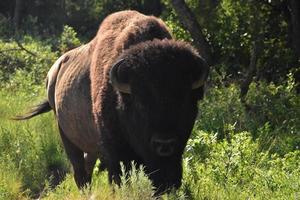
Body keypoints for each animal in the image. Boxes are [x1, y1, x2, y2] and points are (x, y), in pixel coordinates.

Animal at [15, 10, 209, 193]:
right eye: (140, 103)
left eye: (185, 101)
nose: (165, 143)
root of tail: (52, 74)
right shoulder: (115, 152)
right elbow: (118, 177)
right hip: (66, 136)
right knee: (79, 172)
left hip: (91, 146)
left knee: (87, 166)